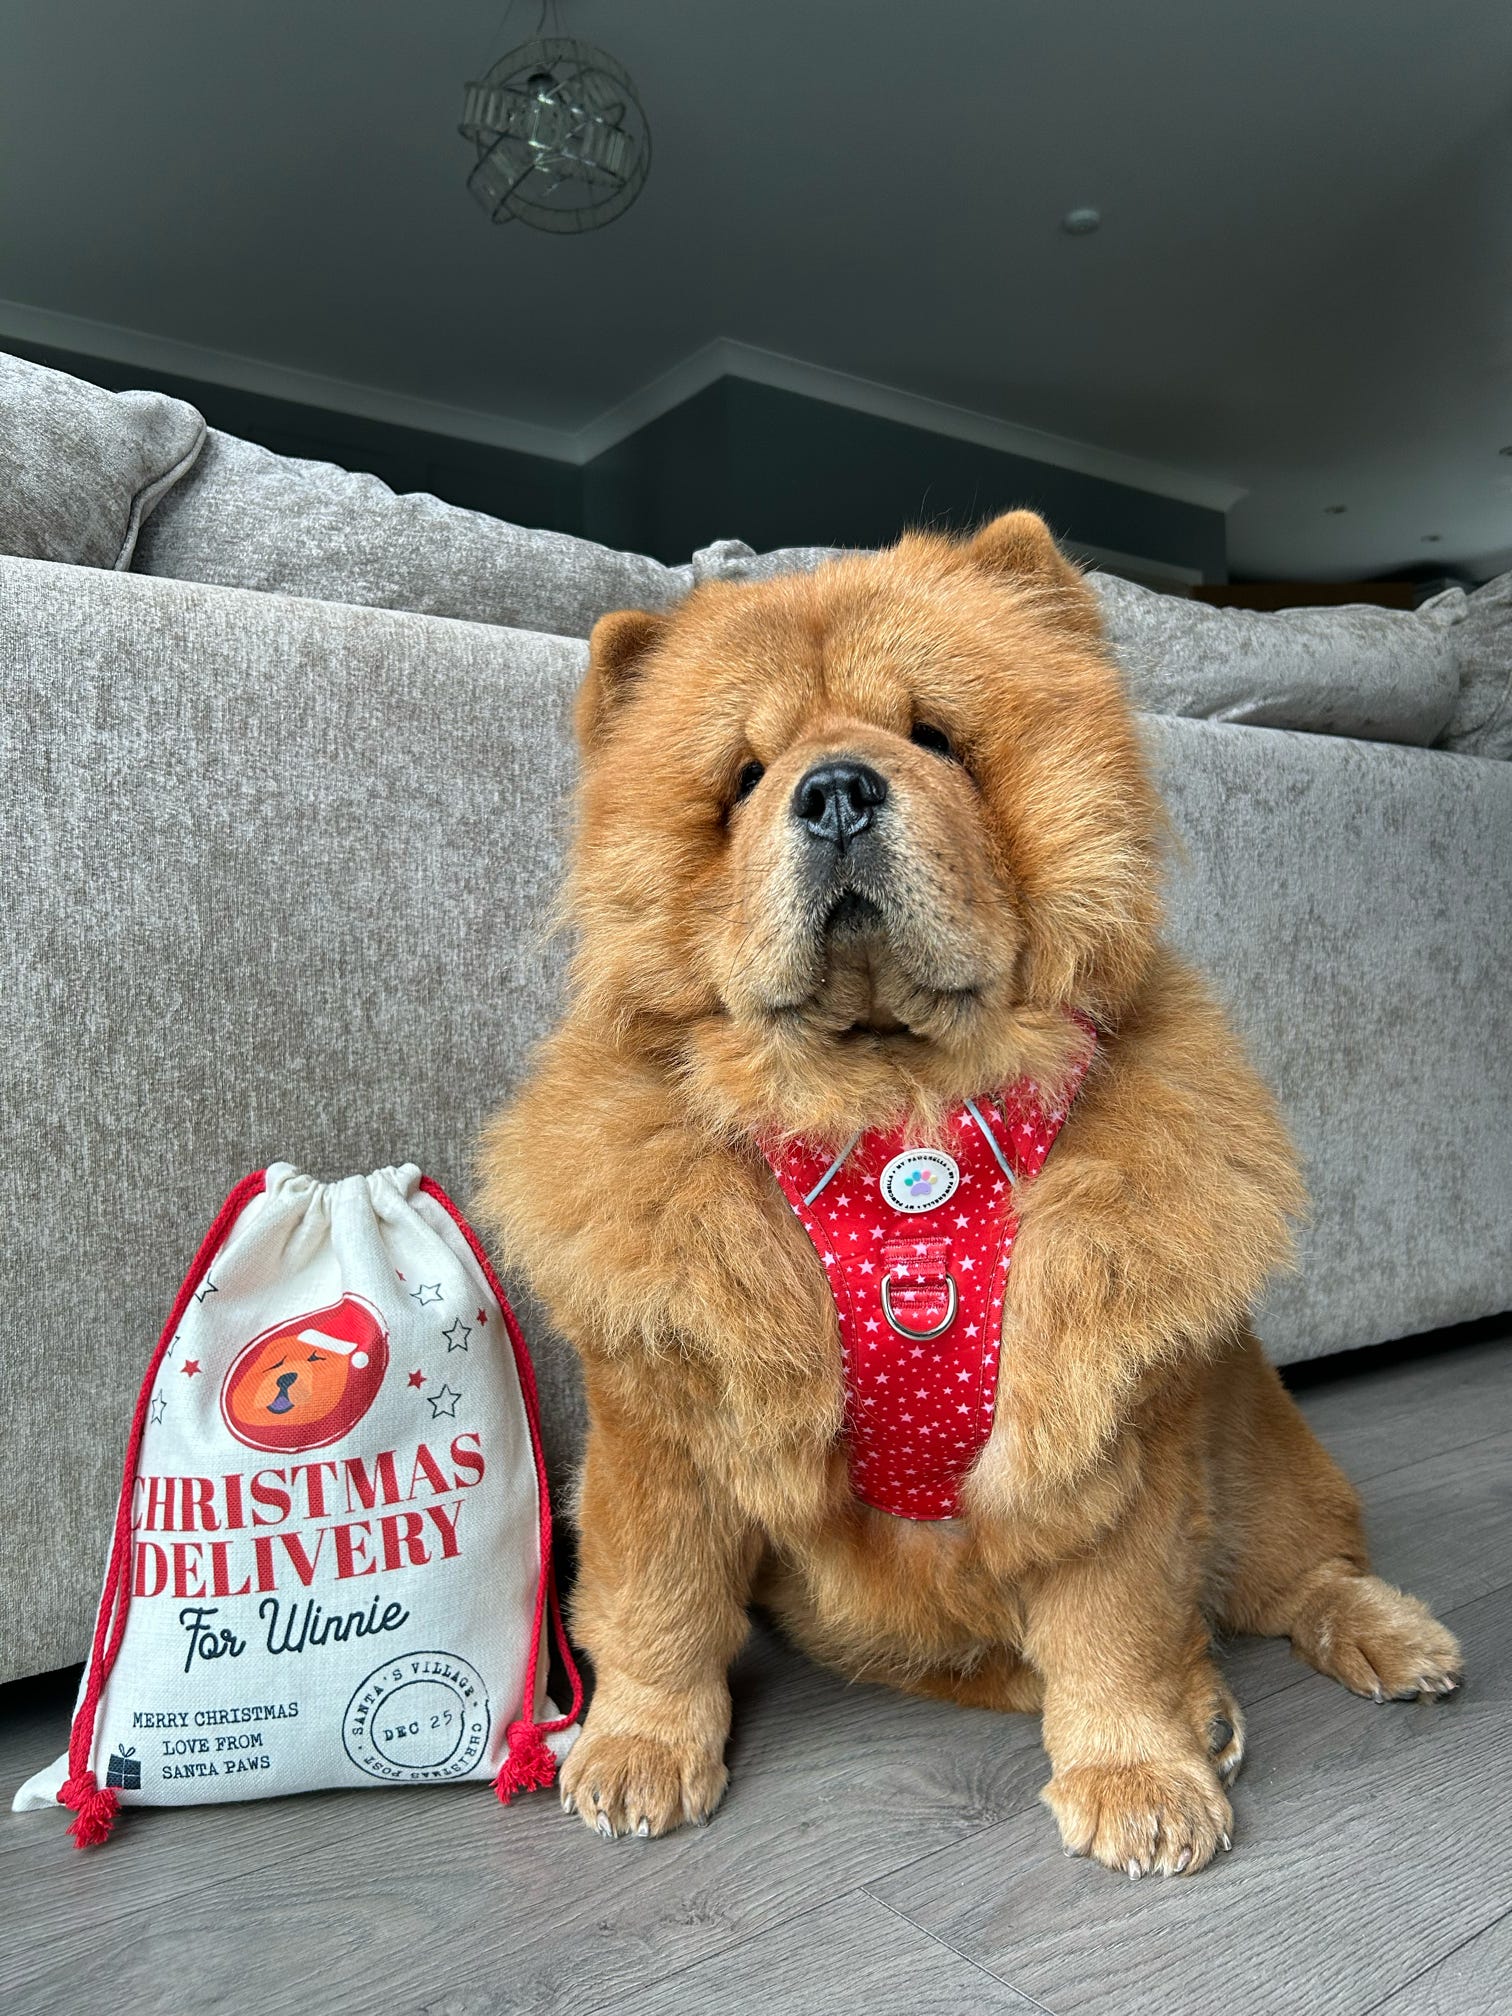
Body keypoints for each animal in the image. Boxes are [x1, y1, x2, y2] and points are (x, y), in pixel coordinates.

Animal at [478, 511, 1461, 1876]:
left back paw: (1380, 1643)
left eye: (935, 736)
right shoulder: (663, 1421)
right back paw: (1196, 1700)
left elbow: (1115, 1621)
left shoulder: (1103, 1420)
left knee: (1301, 1573)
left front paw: (1136, 1775)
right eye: (745, 775)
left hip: (1256, 1467)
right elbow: (657, 1603)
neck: (897, 1111)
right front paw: (638, 1751)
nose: (837, 789)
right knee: (989, 1649)